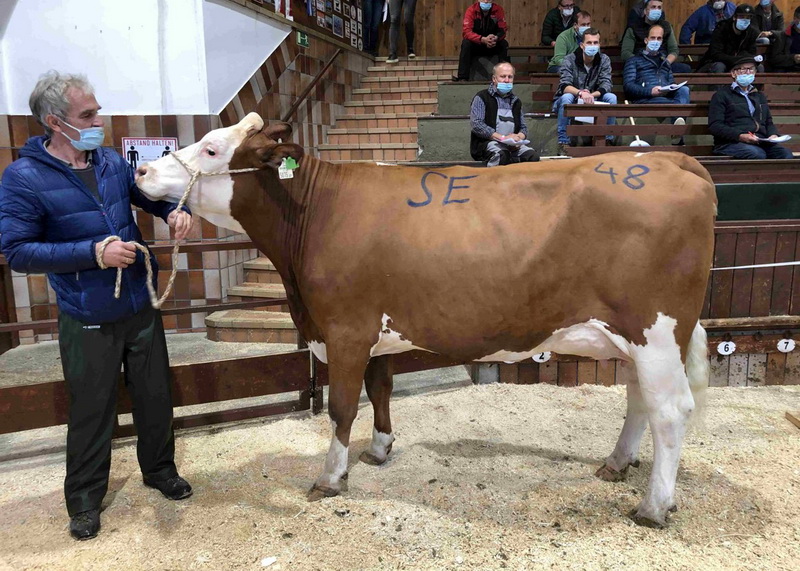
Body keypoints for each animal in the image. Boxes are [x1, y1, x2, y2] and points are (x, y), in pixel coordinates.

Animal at [138, 113, 720, 532]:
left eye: (212, 149)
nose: (142, 170)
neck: (314, 215)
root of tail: (674, 160)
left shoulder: (345, 329)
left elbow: (341, 406)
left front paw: (331, 477)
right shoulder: (374, 333)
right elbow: (380, 389)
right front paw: (379, 449)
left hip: (656, 331)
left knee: (671, 411)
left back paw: (653, 506)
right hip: (636, 338)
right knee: (640, 400)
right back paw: (616, 464)